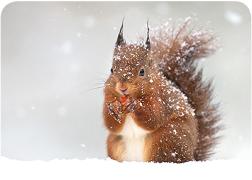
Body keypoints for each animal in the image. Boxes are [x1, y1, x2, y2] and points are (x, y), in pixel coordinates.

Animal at [102, 19, 220, 162]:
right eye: (112, 70)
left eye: (142, 71)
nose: (122, 88)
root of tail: (192, 155)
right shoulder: (108, 95)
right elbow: (110, 124)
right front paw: (113, 107)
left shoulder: (160, 98)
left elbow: (153, 117)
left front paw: (136, 105)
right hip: (115, 143)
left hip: (166, 139)